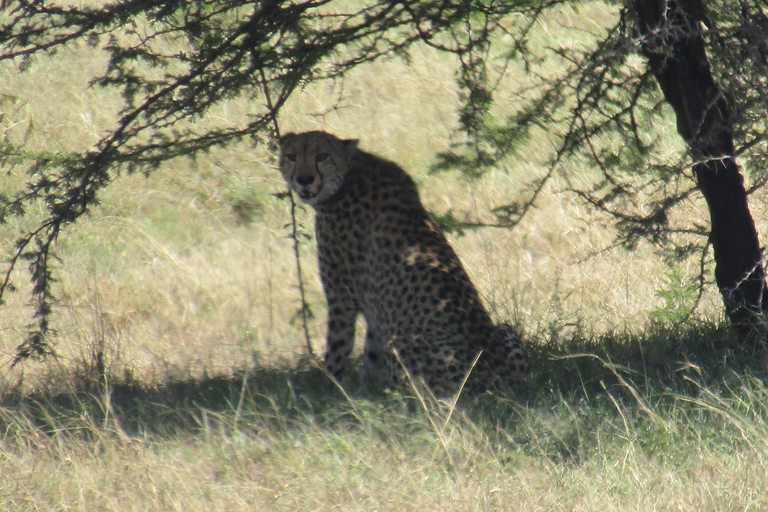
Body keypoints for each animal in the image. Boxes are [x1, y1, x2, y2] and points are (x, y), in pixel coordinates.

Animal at [280, 130, 532, 394]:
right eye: (291, 156)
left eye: (322, 156)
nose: (304, 180)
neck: (349, 173)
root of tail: (490, 381)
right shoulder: (374, 310)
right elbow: (371, 352)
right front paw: (366, 393)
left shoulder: (342, 297)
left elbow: (337, 349)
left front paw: (330, 390)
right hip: (505, 330)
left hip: (404, 347)